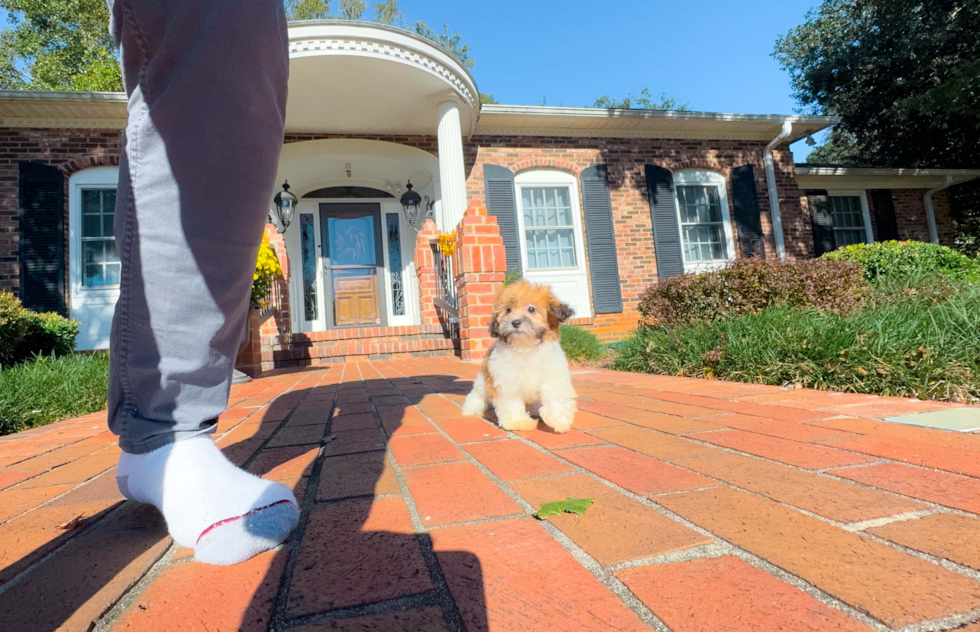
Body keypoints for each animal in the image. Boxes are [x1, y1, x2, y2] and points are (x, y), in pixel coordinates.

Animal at [464, 282, 580, 434]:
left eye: (531, 309)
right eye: (508, 310)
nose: (515, 322)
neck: (525, 346)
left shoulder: (553, 373)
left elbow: (555, 393)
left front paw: (559, 419)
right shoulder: (506, 380)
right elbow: (511, 401)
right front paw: (518, 421)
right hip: (484, 379)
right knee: (478, 394)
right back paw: (470, 409)